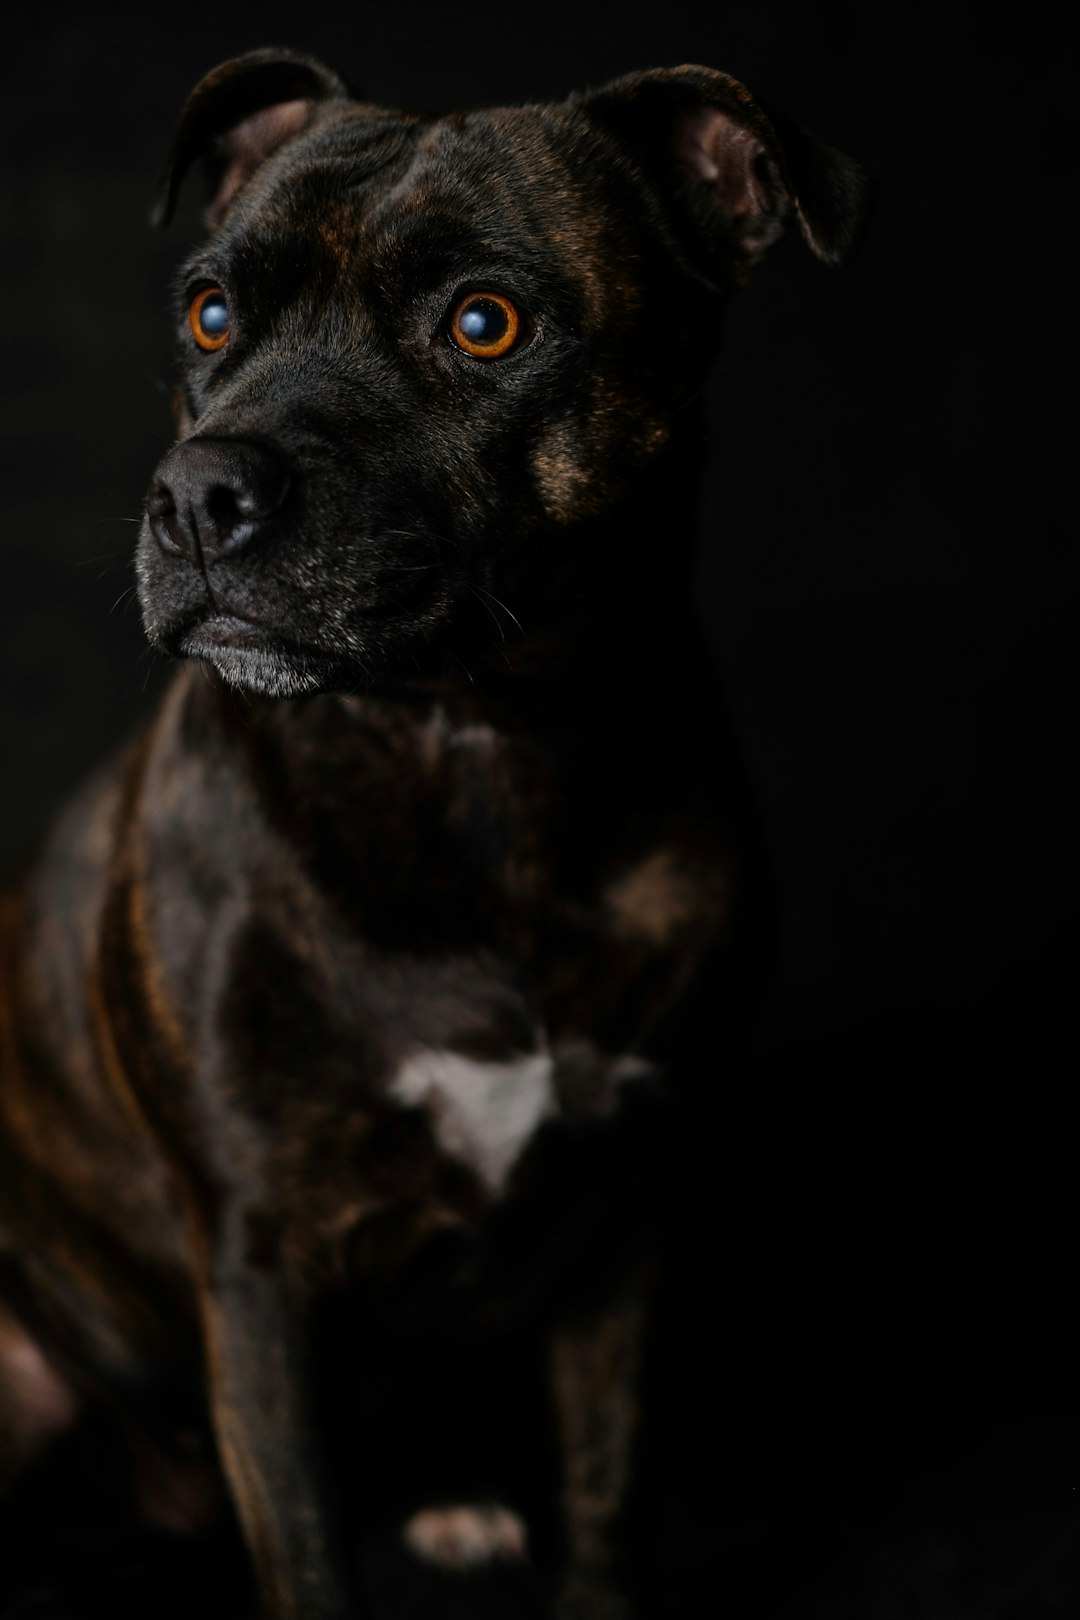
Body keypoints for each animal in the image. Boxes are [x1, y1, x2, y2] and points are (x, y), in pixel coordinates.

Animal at [0, 50, 867, 1620]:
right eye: (210, 312)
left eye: (484, 322)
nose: (197, 494)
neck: (473, 756)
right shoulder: (258, 1265)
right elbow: (306, 1548)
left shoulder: (623, 1218)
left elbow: (606, 1488)